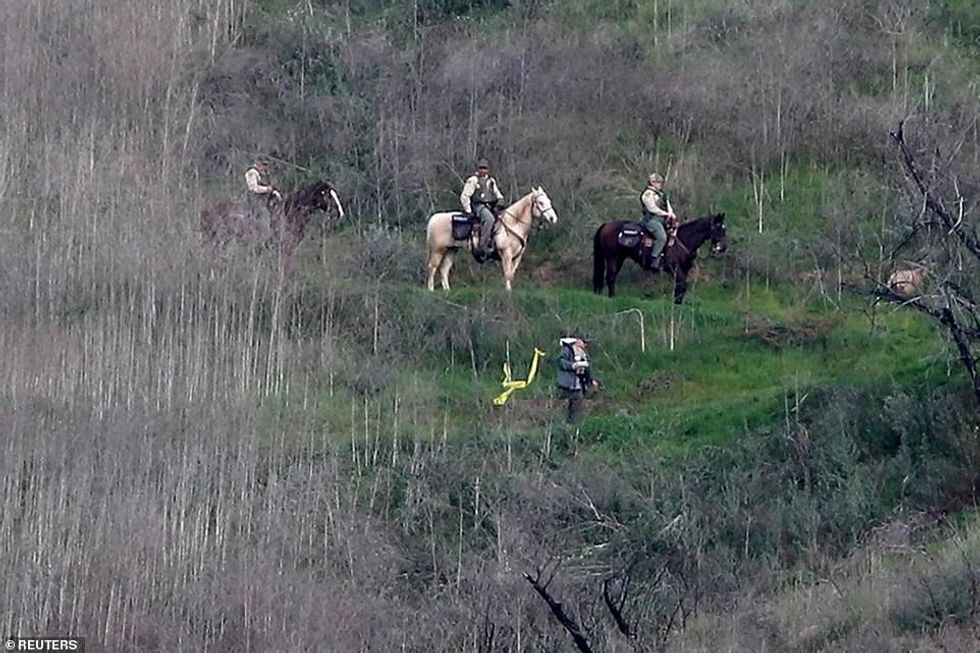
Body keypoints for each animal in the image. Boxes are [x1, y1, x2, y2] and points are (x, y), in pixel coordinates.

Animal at [425, 186, 558, 292]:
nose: (553, 218)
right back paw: (431, 289)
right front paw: (508, 291)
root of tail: (434, 218)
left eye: (548, 201)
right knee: (432, 267)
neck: (513, 223)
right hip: (438, 250)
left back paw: (447, 290)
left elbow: (511, 274)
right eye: (541, 202)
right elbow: (507, 273)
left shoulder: (517, 257)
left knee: (444, 270)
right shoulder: (506, 254)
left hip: (451, 250)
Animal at [592, 213, 727, 303]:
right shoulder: (674, 267)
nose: (723, 248)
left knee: (612, 276)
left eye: (724, 229)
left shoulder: (684, 269)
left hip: (620, 258)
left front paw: (677, 303)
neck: (683, 240)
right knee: (610, 277)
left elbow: (680, 286)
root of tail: (606, 225)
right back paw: (612, 297)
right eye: (718, 227)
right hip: (612, 257)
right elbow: (681, 285)